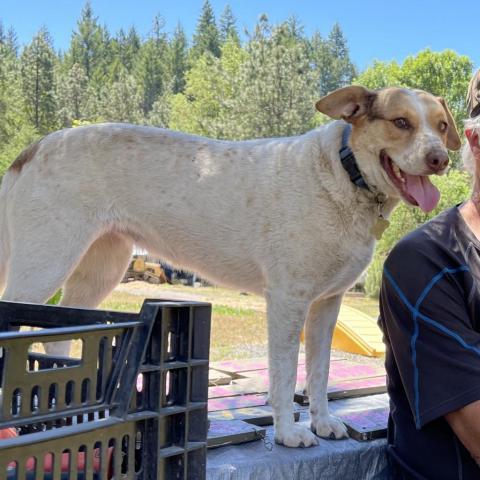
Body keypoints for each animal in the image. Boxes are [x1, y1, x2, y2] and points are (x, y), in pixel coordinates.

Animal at [0, 85, 460, 446]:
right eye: (401, 122)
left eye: (441, 126)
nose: (440, 159)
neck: (346, 173)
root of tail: (35, 146)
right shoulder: (288, 301)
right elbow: (284, 373)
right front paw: (288, 433)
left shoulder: (327, 306)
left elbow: (320, 373)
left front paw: (324, 422)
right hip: (43, 264)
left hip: (100, 268)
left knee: (61, 335)